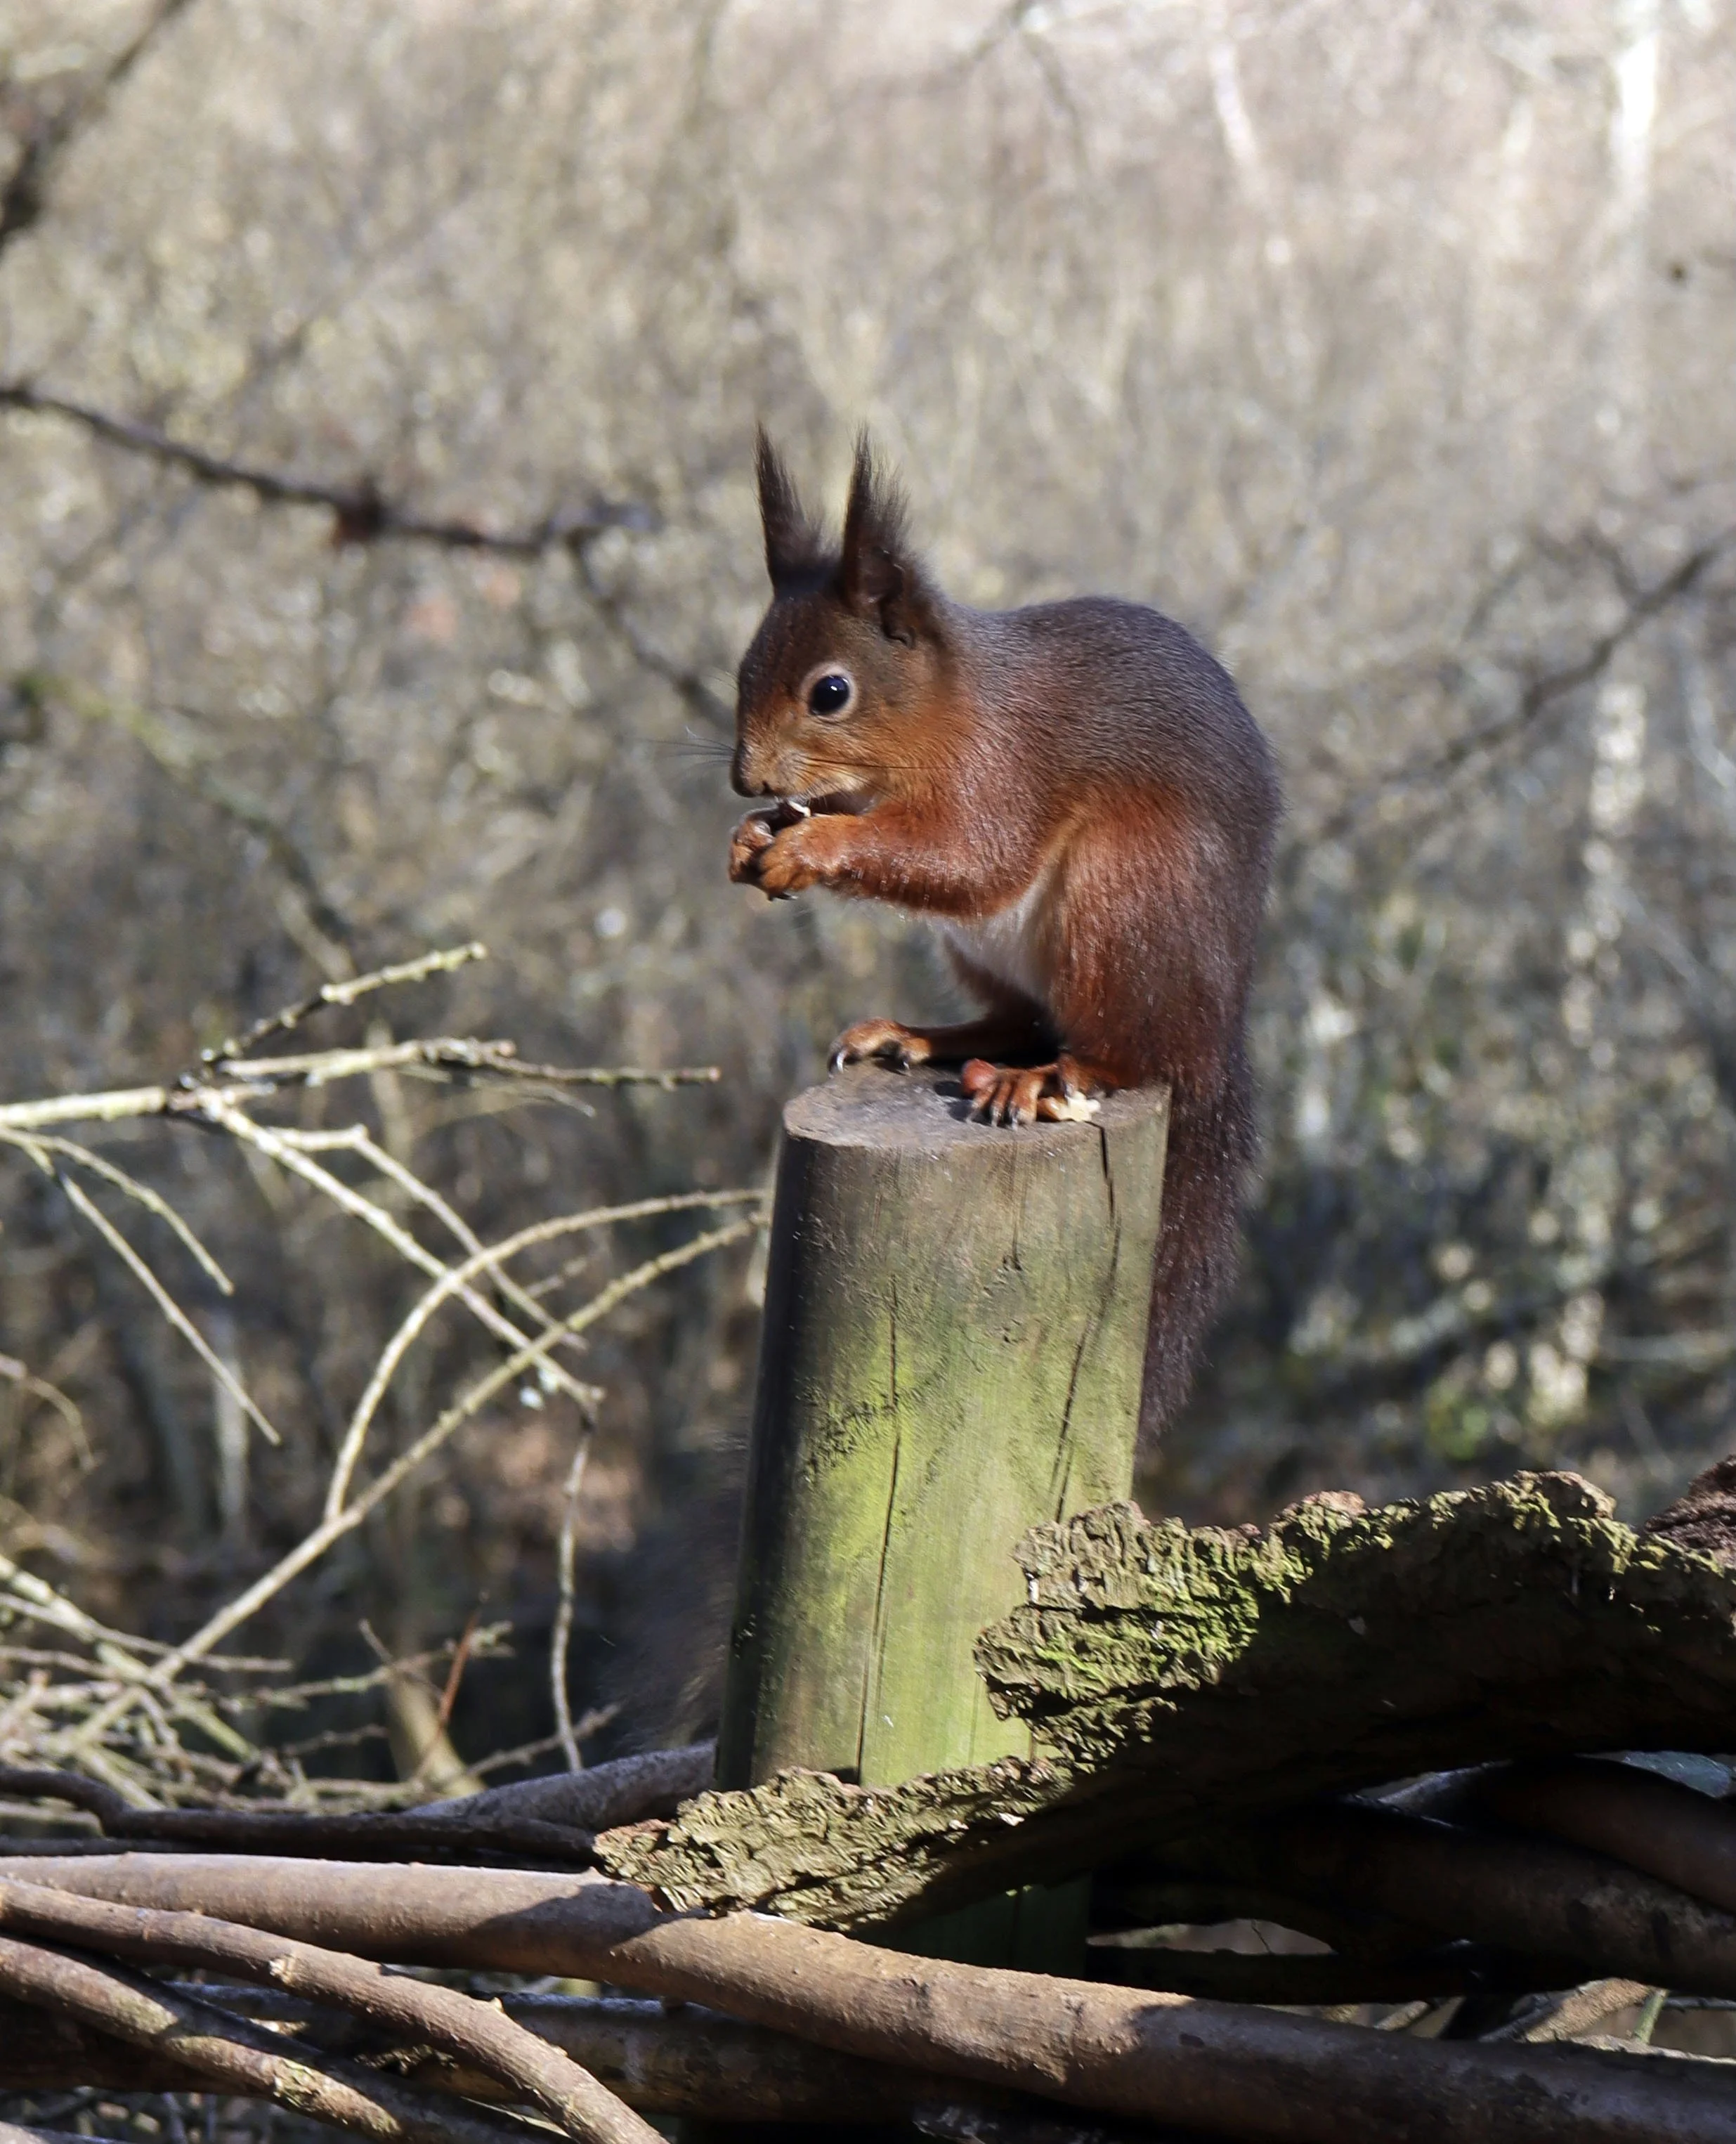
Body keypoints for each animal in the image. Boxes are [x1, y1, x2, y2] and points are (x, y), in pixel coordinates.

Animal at [728, 432, 1280, 1435]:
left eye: (831, 692)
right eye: (743, 669)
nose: (746, 780)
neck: (943, 714)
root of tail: (1215, 1028)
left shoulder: (1003, 772)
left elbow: (967, 859)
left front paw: (811, 847)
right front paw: (754, 838)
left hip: (1123, 895)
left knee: (1124, 1050)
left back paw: (1049, 1079)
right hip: (988, 954)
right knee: (1017, 1019)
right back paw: (917, 1038)